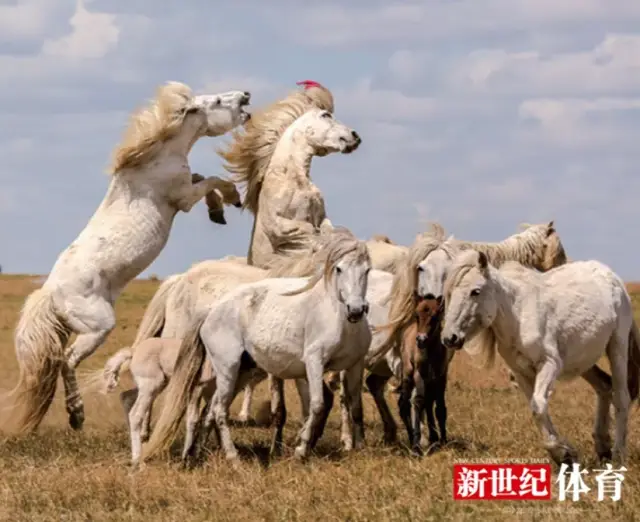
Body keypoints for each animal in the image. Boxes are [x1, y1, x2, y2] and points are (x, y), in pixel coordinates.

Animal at [8, 80, 252, 430]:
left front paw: (218, 211)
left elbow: (205, 180)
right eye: (217, 101)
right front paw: (231, 198)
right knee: (68, 361)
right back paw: (76, 413)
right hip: (98, 326)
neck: (158, 156)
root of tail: (50, 292)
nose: (246, 96)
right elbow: (212, 181)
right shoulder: (183, 197)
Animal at [143, 230, 376, 462]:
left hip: (238, 370)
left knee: (210, 407)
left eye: (367, 270)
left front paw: (358, 446)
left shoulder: (353, 365)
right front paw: (294, 449)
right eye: (339, 268)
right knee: (199, 403)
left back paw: (200, 452)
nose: (356, 310)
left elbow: (353, 404)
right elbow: (306, 406)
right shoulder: (307, 364)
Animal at [440, 248, 640, 464]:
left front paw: (563, 452)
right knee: (604, 387)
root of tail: (612, 277)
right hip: (585, 361)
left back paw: (618, 455)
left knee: (621, 397)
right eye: (450, 293)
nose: (449, 338)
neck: (518, 315)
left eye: (475, 291)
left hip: (617, 347)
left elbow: (538, 405)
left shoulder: (549, 364)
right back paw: (603, 447)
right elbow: (536, 408)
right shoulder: (521, 372)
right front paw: (563, 453)